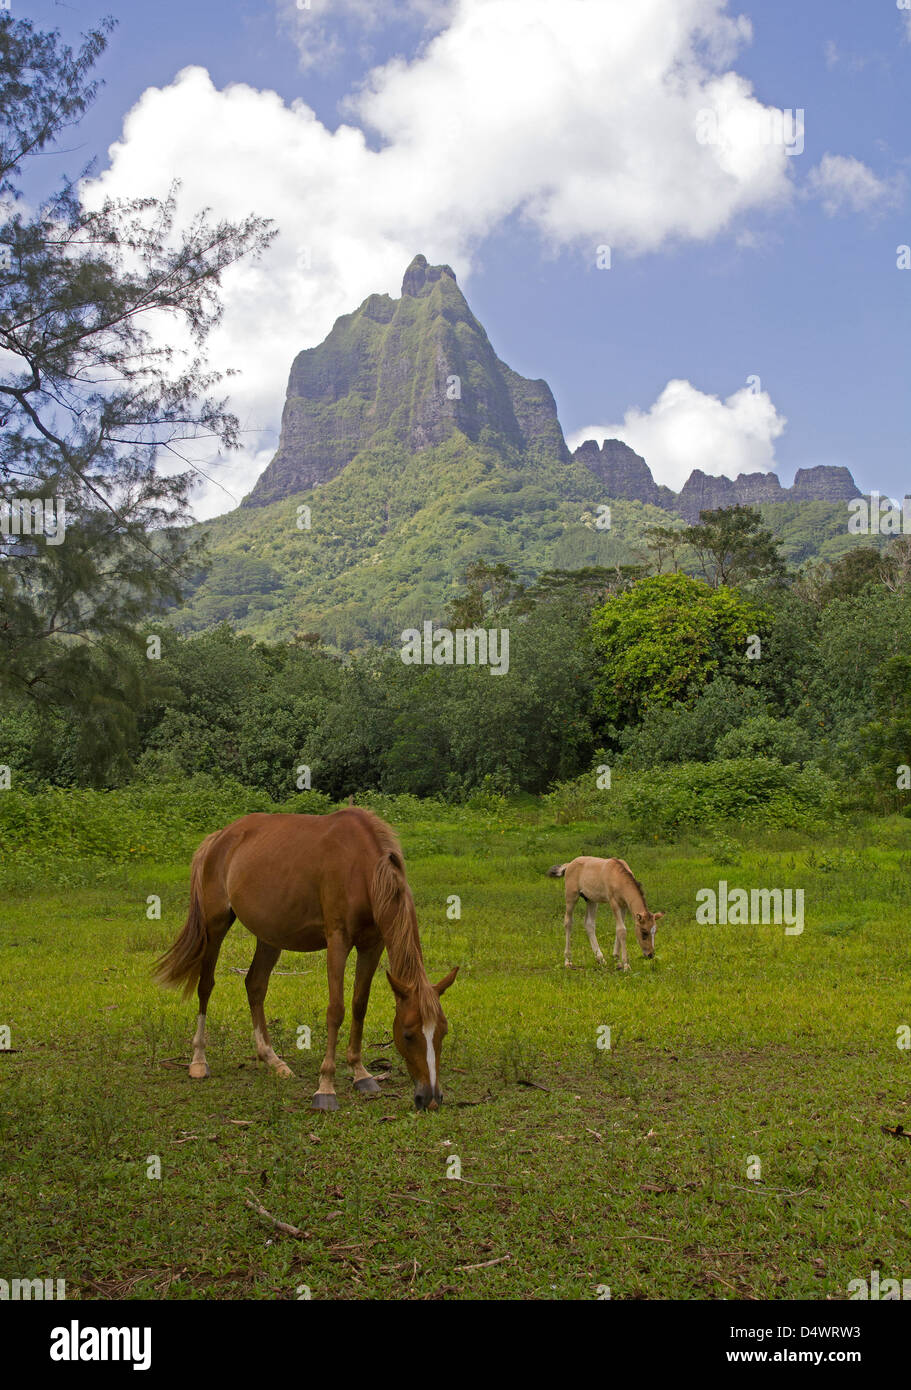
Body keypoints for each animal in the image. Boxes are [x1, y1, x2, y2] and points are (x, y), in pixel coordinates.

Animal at [154, 807, 458, 1111]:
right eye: (408, 1034)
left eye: (443, 1032)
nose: (431, 1098)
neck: (361, 869)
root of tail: (220, 838)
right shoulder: (338, 940)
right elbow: (336, 1010)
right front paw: (326, 1087)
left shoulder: (373, 944)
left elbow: (359, 1005)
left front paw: (360, 1073)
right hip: (215, 925)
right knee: (206, 986)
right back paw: (198, 1061)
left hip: (269, 936)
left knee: (255, 985)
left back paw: (273, 1060)